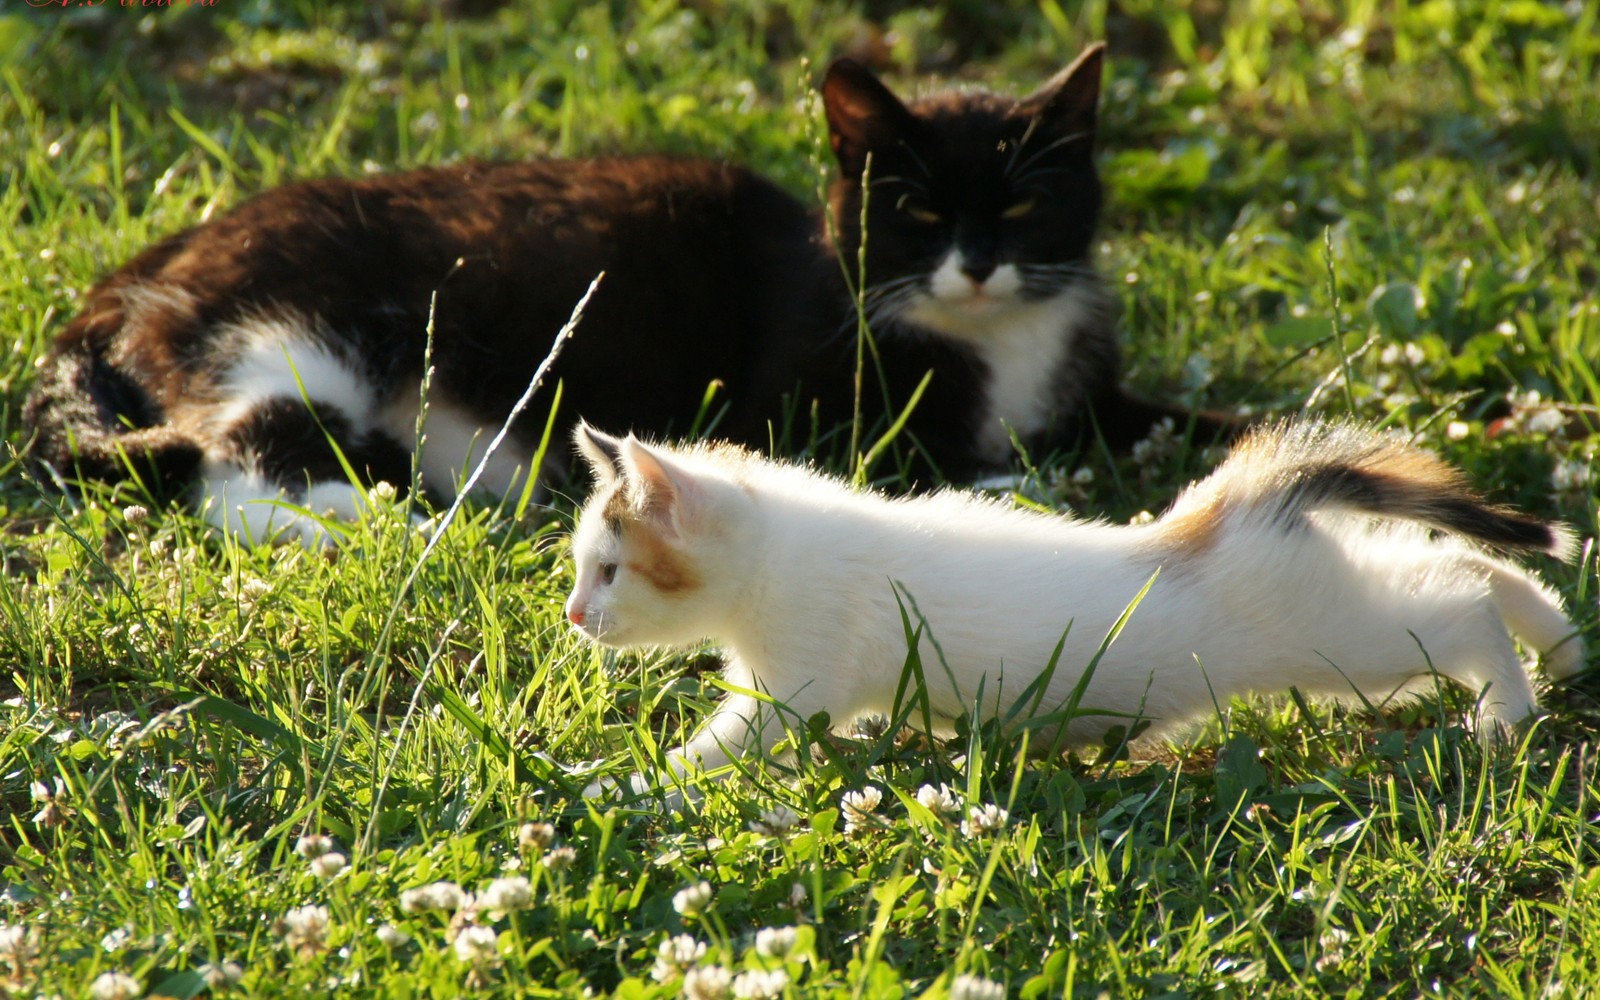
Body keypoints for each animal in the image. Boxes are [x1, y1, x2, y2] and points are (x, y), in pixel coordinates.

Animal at [21, 44, 1222, 547]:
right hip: (294, 332)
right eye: (917, 212)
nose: (976, 262)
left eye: (1023, 204)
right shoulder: (798, 407)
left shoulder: (1088, 391)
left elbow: (1170, 422)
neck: (994, 338)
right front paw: (1027, 493)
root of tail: (137, 268)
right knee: (236, 460)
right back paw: (382, 525)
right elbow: (940, 456)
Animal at [560, 416, 1574, 790]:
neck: (777, 549)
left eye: (608, 570)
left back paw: (1505, 711)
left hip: (1335, 637)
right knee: (1464, 565)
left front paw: (627, 787)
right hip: (1337, 592)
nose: (572, 616)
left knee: (1457, 602)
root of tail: (1228, 505)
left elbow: (720, 748)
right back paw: (1562, 647)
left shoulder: (795, 685)